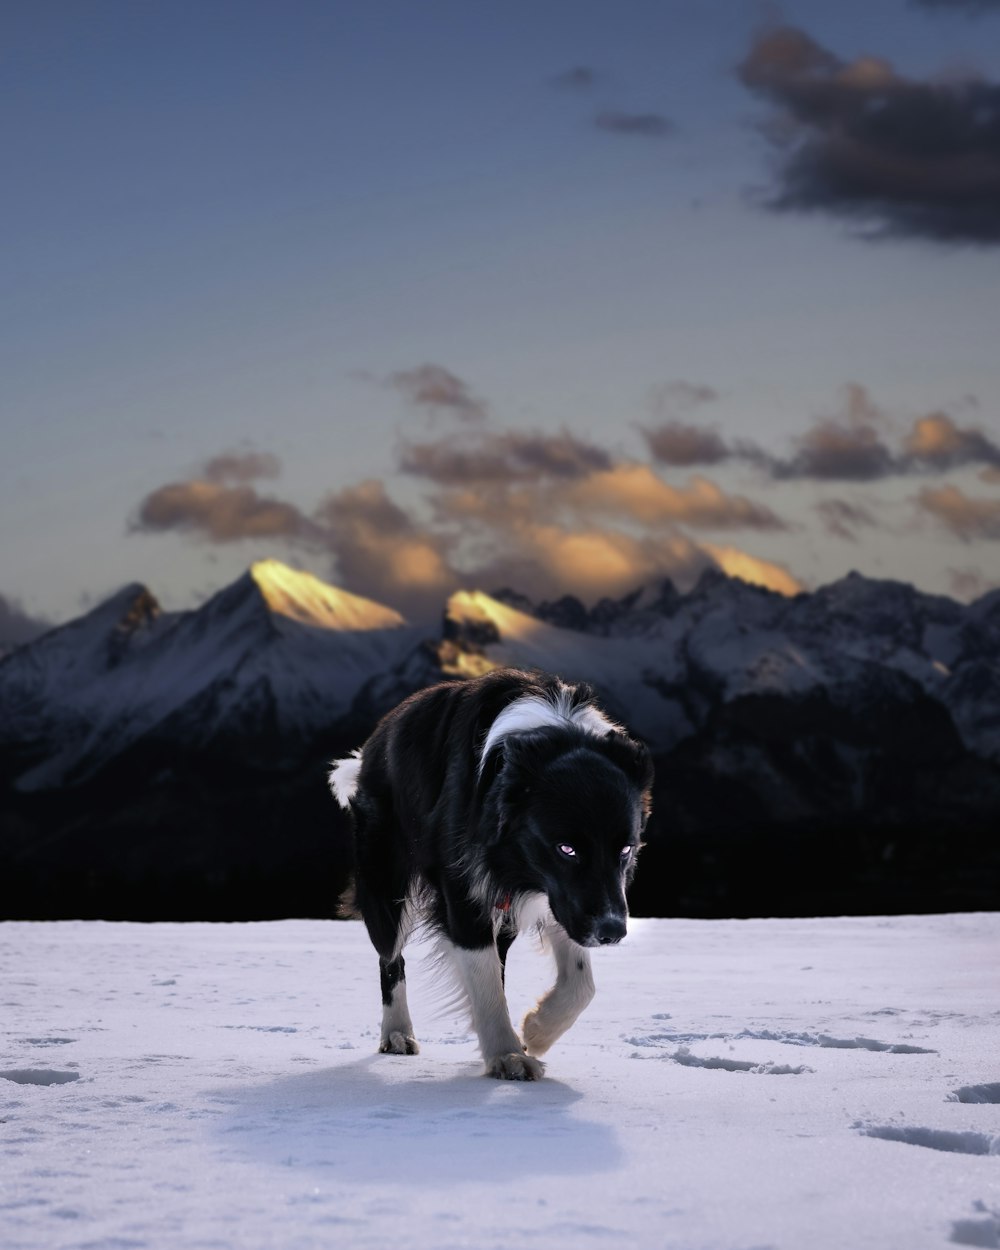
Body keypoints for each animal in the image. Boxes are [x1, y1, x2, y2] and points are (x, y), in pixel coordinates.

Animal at [330, 670, 655, 1080]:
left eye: (626, 849)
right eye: (567, 848)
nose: (612, 932)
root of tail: (376, 739)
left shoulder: (557, 896)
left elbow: (582, 982)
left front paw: (536, 1030)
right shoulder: (467, 889)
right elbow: (484, 981)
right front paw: (508, 1056)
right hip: (386, 878)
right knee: (391, 956)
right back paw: (397, 1034)